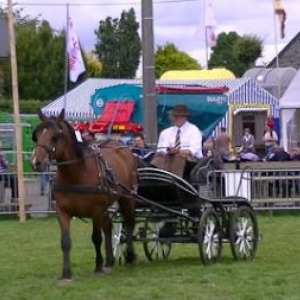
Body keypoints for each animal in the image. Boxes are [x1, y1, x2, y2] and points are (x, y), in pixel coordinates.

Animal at [30, 109, 138, 282]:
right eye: (36, 135)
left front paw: (98, 267)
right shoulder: (62, 211)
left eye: (54, 137)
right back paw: (109, 261)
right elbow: (65, 241)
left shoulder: (96, 210)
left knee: (128, 224)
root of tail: (122, 147)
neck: (76, 174)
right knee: (108, 226)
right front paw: (66, 274)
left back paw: (130, 256)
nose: (36, 162)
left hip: (127, 198)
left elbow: (96, 238)